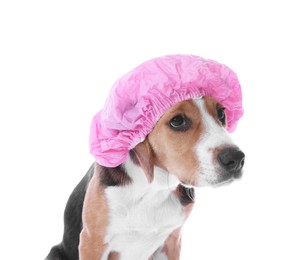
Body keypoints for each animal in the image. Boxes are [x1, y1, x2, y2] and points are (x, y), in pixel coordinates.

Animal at [45, 96, 245, 260]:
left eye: (221, 114)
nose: (236, 159)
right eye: (177, 121)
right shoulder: (92, 242)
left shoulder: (172, 240)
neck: (154, 188)